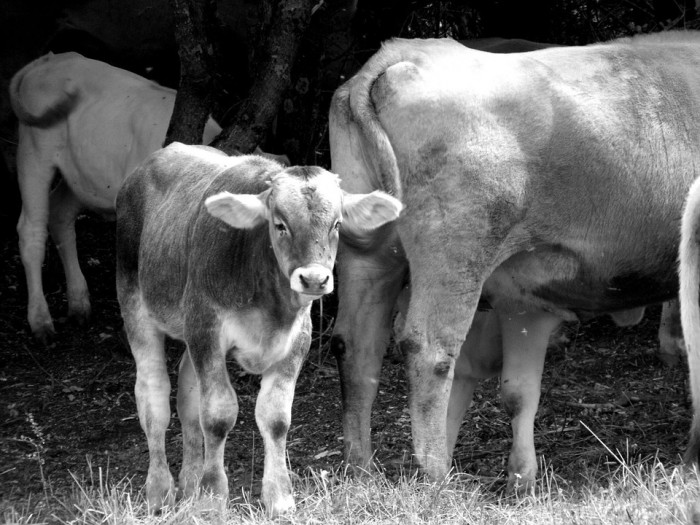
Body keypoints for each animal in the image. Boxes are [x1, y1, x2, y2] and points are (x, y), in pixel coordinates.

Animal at [11, 51, 221, 342]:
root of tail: (51, 59)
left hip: (83, 176)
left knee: (60, 215)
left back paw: (79, 304)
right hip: (34, 154)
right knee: (31, 229)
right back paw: (41, 321)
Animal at [114, 142, 400, 512]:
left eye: (336, 224)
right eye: (279, 224)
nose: (313, 279)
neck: (269, 304)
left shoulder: (297, 340)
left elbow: (275, 417)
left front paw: (279, 497)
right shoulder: (206, 327)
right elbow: (218, 414)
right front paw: (213, 498)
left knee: (188, 397)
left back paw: (190, 485)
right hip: (135, 303)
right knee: (153, 397)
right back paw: (159, 491)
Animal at [328, 33, 700, 492]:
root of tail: (406, 51)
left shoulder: (524, 304)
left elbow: (519, 390)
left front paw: (522, 478)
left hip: (369, 257)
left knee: (355, 346)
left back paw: (359, 469)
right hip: (456, 255)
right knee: (429, 349)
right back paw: (436, 477)